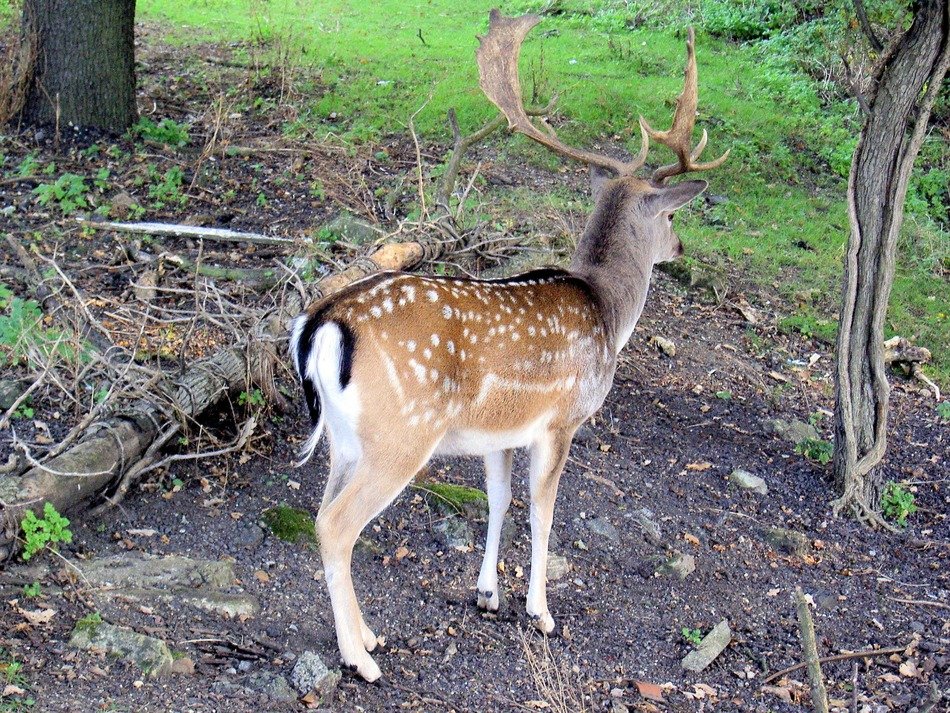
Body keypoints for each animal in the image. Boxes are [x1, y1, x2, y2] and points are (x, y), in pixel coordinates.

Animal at [288, 9, 728, 680]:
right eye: (672, 217)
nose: (681, 249)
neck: (607, 310)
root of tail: (323, 325)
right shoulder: (562, 419)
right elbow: (543, 511)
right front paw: (540, 611)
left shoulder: (496, 431)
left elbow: (497, 500)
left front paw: (487, 594)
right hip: (401, 434)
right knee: (338, 526)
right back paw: (359, 659)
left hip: (345, 439)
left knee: (320, 516)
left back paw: (368, 636)